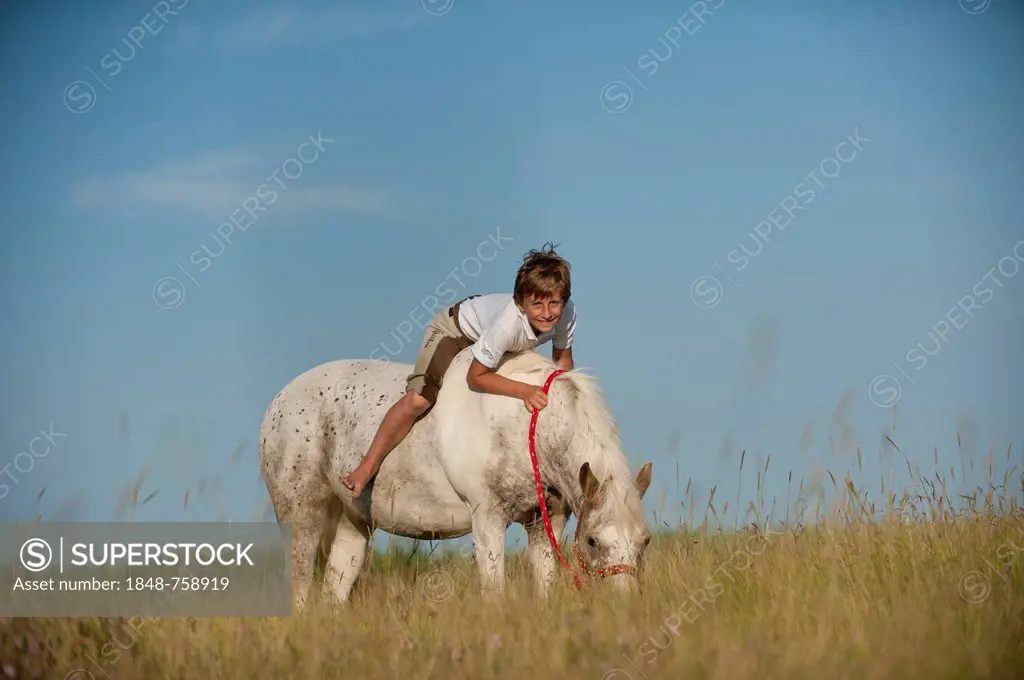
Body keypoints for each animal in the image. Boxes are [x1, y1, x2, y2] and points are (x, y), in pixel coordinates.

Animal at [260, 348, 651, 606]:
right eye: (592, 542)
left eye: (645, 542)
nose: (623, 607)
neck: (529, 423)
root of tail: (279, 402)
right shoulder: (488, 518)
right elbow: (493, 591)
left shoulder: (544, 521)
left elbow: (545, 584)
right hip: (302, 517)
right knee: (300, 589)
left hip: (352, 522)